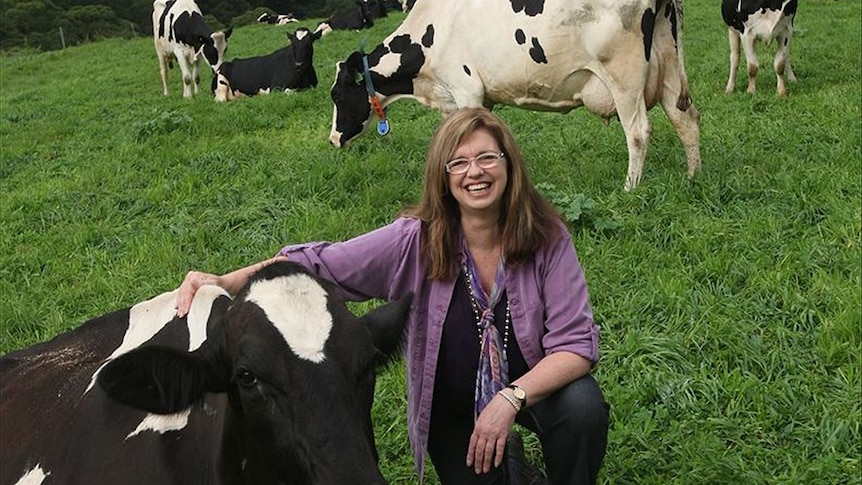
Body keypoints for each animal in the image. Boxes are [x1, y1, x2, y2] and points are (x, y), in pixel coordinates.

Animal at [330, 0, 704, 191]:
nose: (333, 139)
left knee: (638, 131)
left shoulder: (466, 90)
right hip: (668, 66)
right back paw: (693, 176)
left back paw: (630, 188)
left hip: (623, 76)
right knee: (685, 119)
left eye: (338, 96)